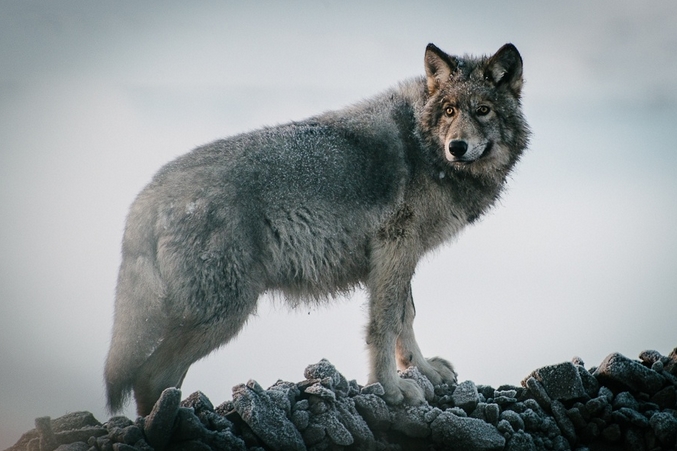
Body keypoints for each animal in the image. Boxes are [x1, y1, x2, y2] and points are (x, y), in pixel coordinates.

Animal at [104, 43, 529, 415]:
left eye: (483, 110)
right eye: (450, 110)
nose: (457, 146)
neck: (424, 147)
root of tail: (146, 199)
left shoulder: (402, 255)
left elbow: (406, 317)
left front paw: (422, 370)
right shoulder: (396, 249)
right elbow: (385, 323)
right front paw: (390, 389)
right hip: (225, 313)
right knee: (151, 376)